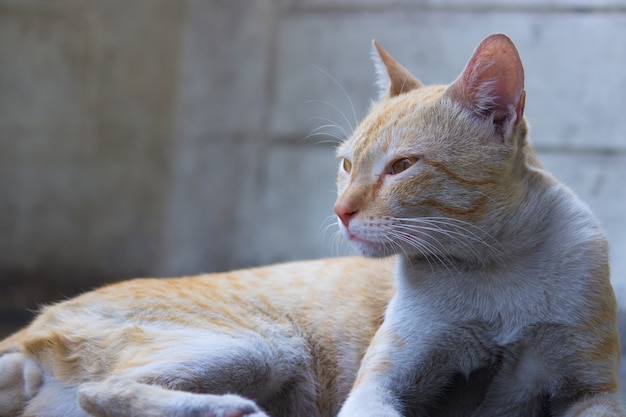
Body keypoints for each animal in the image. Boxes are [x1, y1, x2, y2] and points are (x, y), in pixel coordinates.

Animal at [0, 33, 620, 417]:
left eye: (401, 166)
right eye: (346, 164)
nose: (341, 210)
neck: (498, 269)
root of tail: (30, 330)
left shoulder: (594, 392)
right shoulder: (380, 384)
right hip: (263, 345)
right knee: (99, 392)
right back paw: (227, 409)